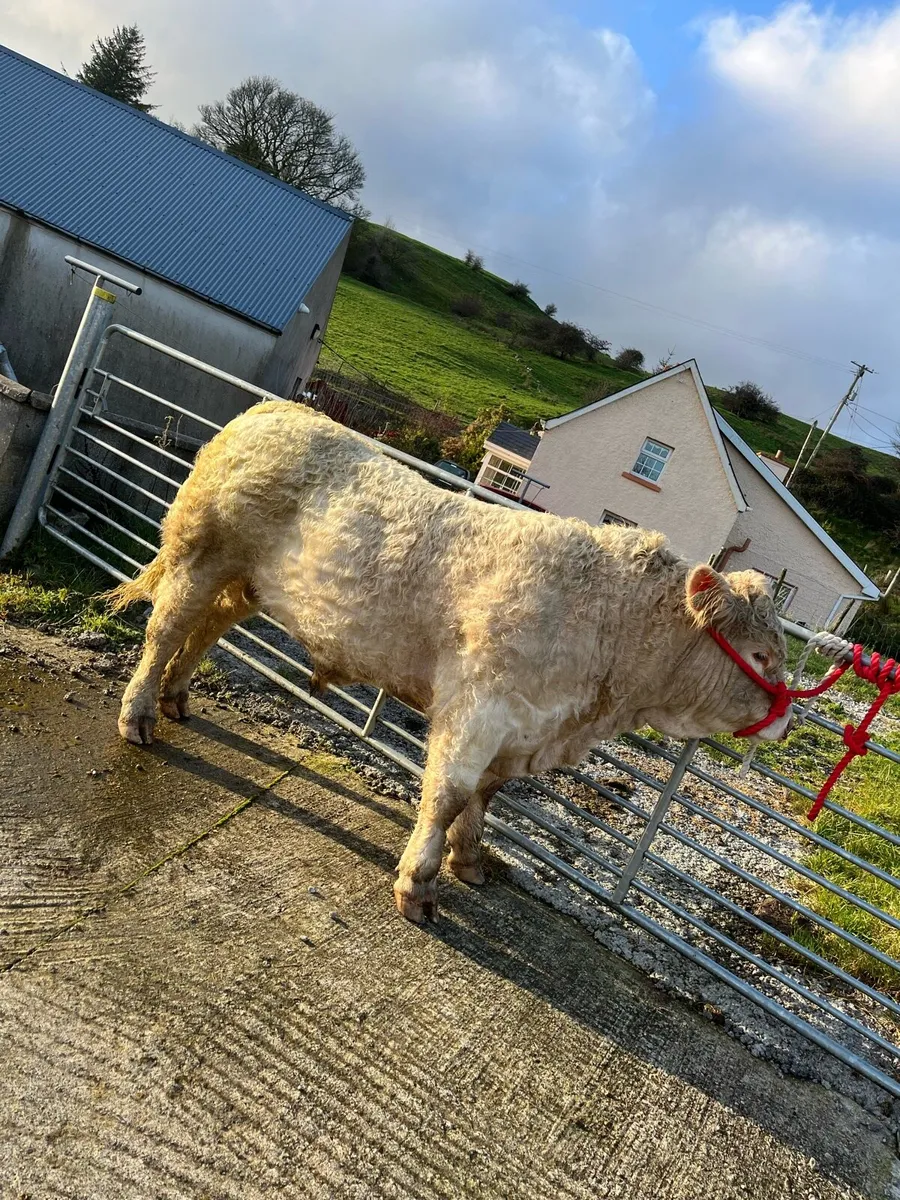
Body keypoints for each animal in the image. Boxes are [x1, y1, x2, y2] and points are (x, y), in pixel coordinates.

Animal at [109, 400, 790, 922]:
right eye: (760, 654)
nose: (785, 720)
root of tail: (279, 409)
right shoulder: (479, 706)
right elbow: (448, 793)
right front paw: (419, 883)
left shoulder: (521, 729)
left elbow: (487, 796)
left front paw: (470, 861)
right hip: (203, 553)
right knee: (166, 630)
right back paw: (139, 715)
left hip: (246, 581)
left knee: (206, 630)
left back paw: (175, 698)